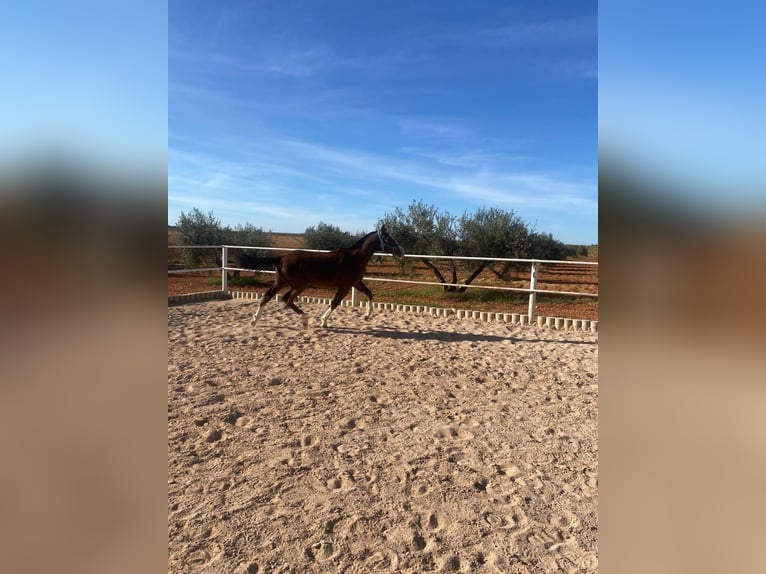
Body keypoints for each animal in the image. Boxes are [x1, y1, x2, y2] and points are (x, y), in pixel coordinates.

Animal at [238, 227, 408, 330]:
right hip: (299, 285)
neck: (355, 258)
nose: (402, 251)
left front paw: (367, 315)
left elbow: (370, 294)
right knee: (286, 299)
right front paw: (323, 321)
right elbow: (335, 302)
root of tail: (282, 257)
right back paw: (305, 319)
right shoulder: (345, 286)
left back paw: (254, 320)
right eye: (389, 239)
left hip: (283, 282)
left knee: (269, 297)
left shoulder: (356, 283)